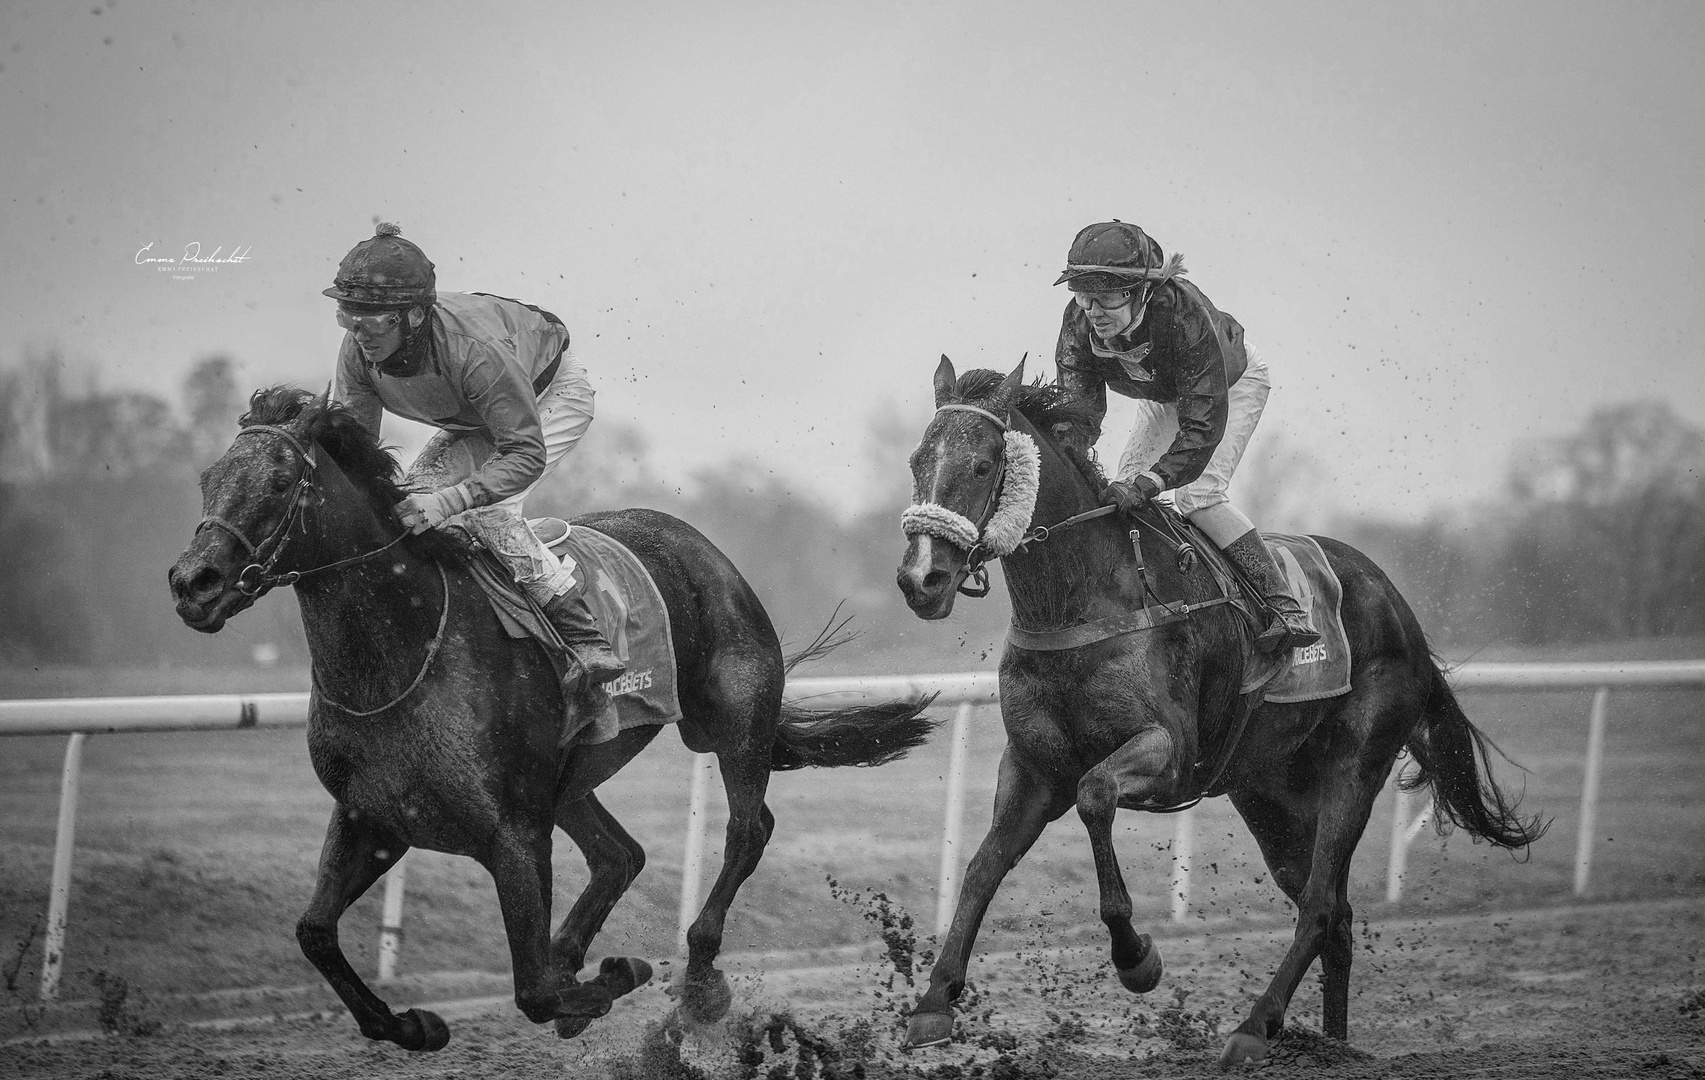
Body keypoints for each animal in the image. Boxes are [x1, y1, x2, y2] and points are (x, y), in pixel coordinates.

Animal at [166, 385, 934, 1044]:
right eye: (207, 478)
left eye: (276, 482)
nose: (191, 582)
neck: (405, 652)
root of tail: (704, 548)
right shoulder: (373, 817)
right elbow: (315, 932)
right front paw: (414, 1024)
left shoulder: (513, 830)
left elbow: (533, 989)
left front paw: (613, 975)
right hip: (572, 776)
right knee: (621, 854)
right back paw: (580, 952)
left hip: (730, 720)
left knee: (747, 829)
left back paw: (698, 978)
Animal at [900, 360, 1541, 1064]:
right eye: (916, 460)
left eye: (984, 465)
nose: (921, 580)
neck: (1086, 596)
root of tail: (1400, 609)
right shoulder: (1034, 765)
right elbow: (983, 866)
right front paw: (933, 1001)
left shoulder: (1169, 752)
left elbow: (1096, 795)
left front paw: (1137, 959)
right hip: (1269, 792)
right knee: (1334, 913)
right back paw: (1333, 1045)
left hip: (1356, 763)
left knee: (1320, 904)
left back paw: (1254, 1026)